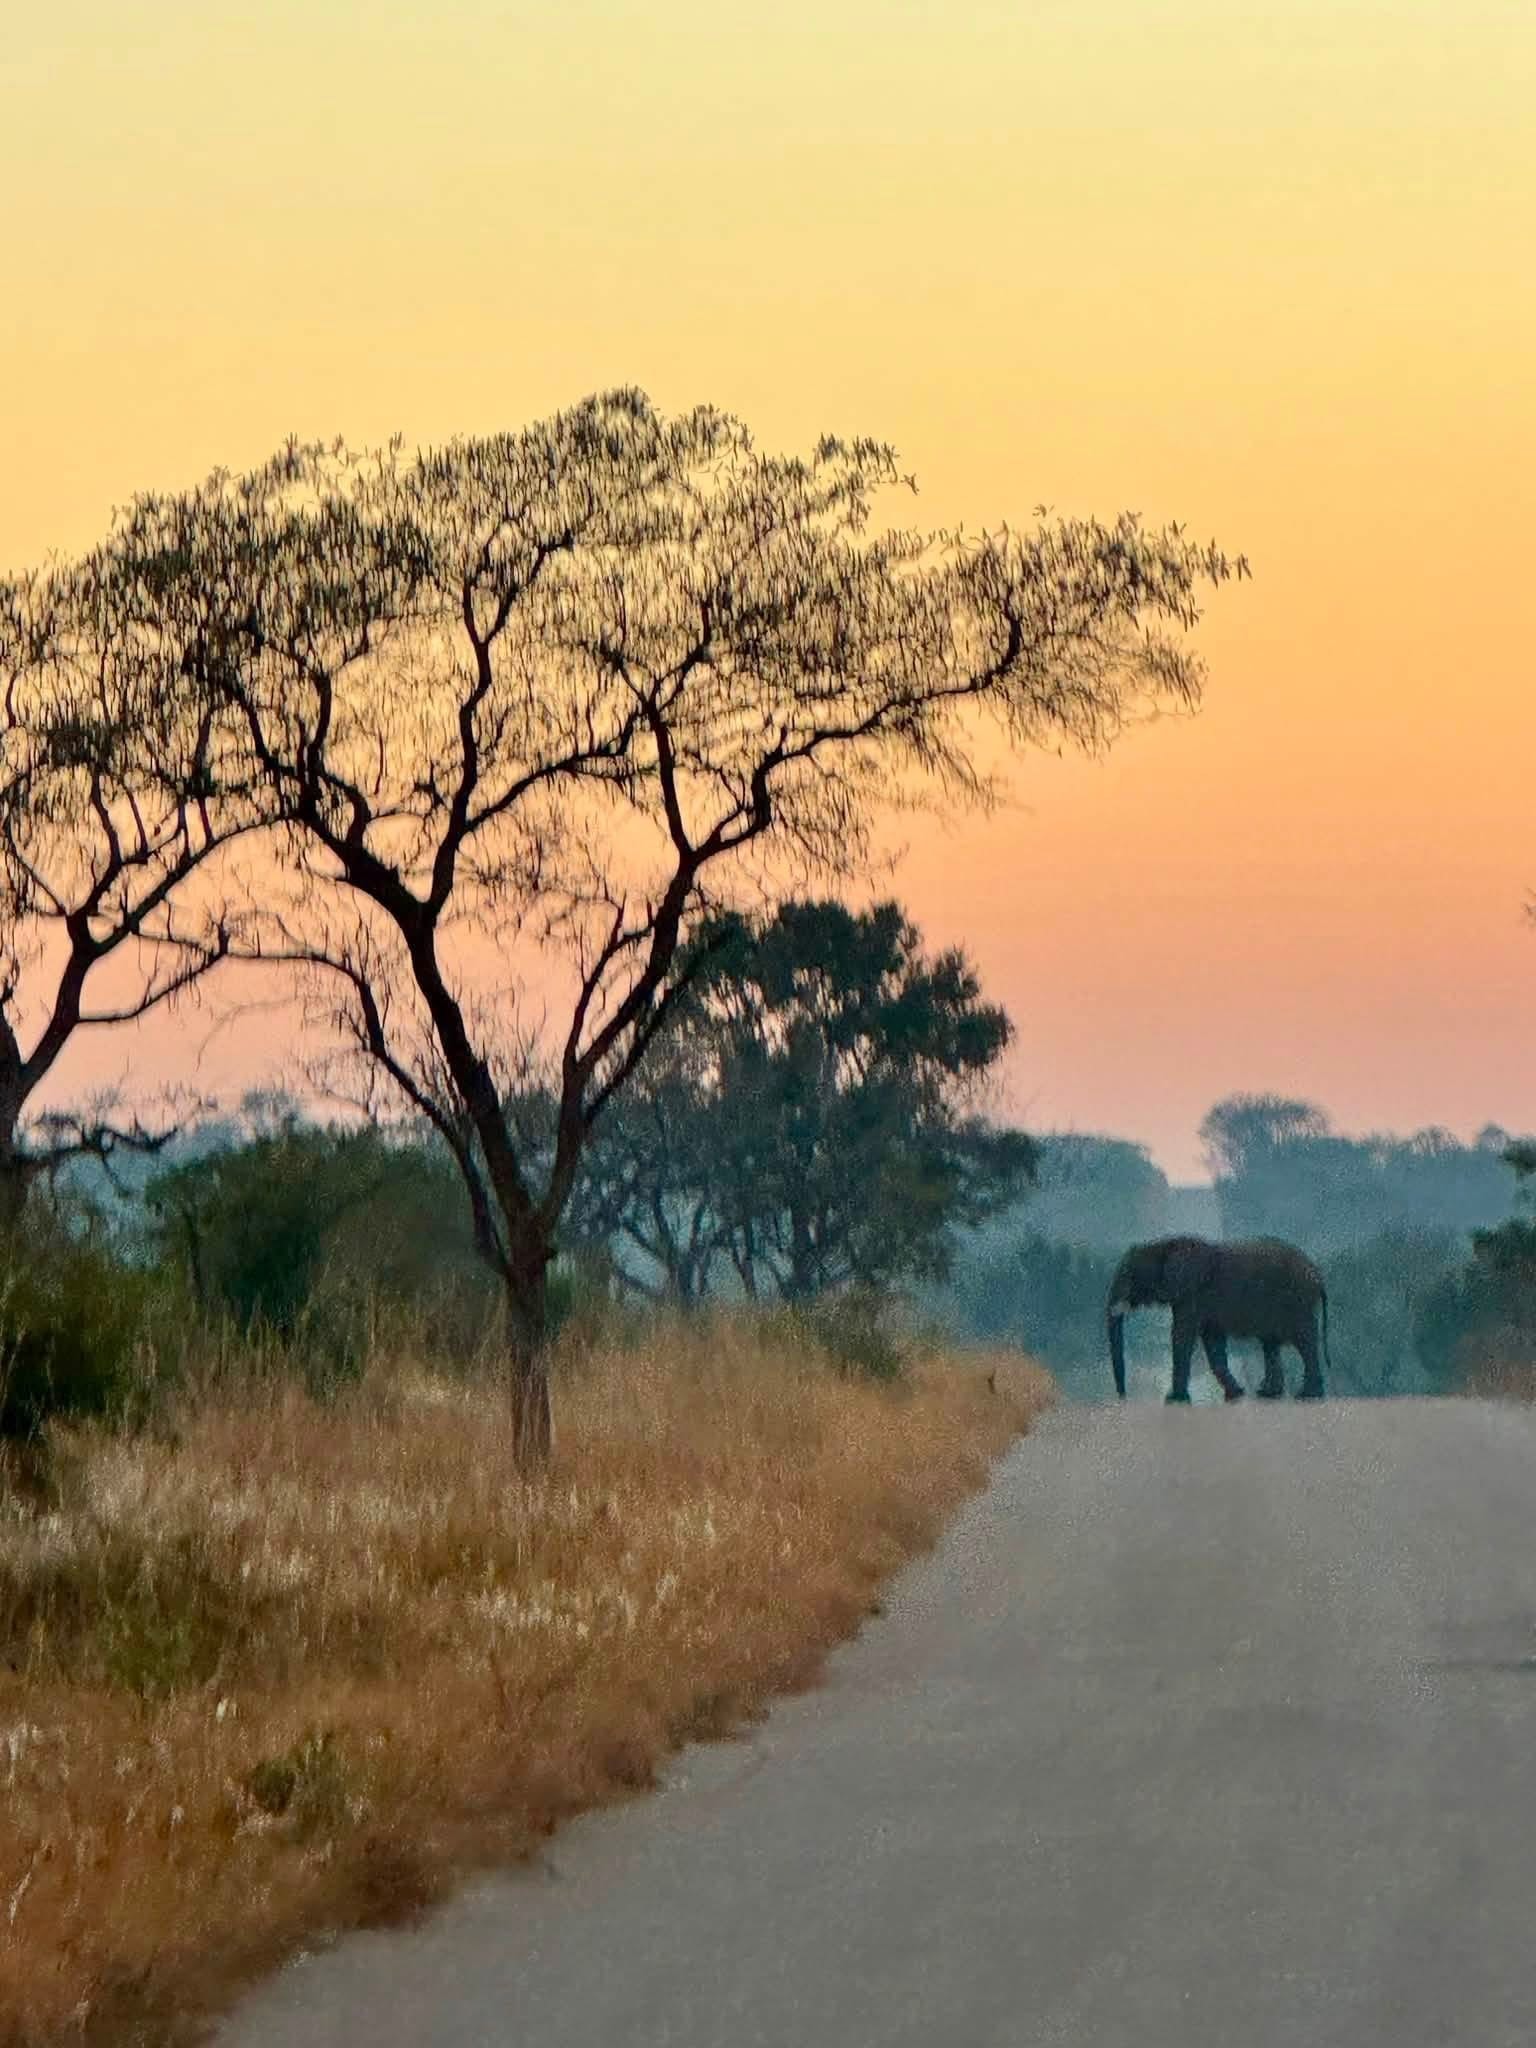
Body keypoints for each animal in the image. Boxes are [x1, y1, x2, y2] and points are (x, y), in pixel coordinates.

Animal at [1105, 1235, 1330, 1404]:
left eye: (1128, 1273)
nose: (1123, 1397)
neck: (1165, 1245)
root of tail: (1317, 1275)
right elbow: (1213, 1343)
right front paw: (1235, 1395)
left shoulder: (1191, 1293)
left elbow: (1181, 1337)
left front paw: (1174, 1400)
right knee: (1271, 1344)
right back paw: (1268, 1394)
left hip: (1298, 1302)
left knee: (1304, 1342)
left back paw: (1307, 1396)